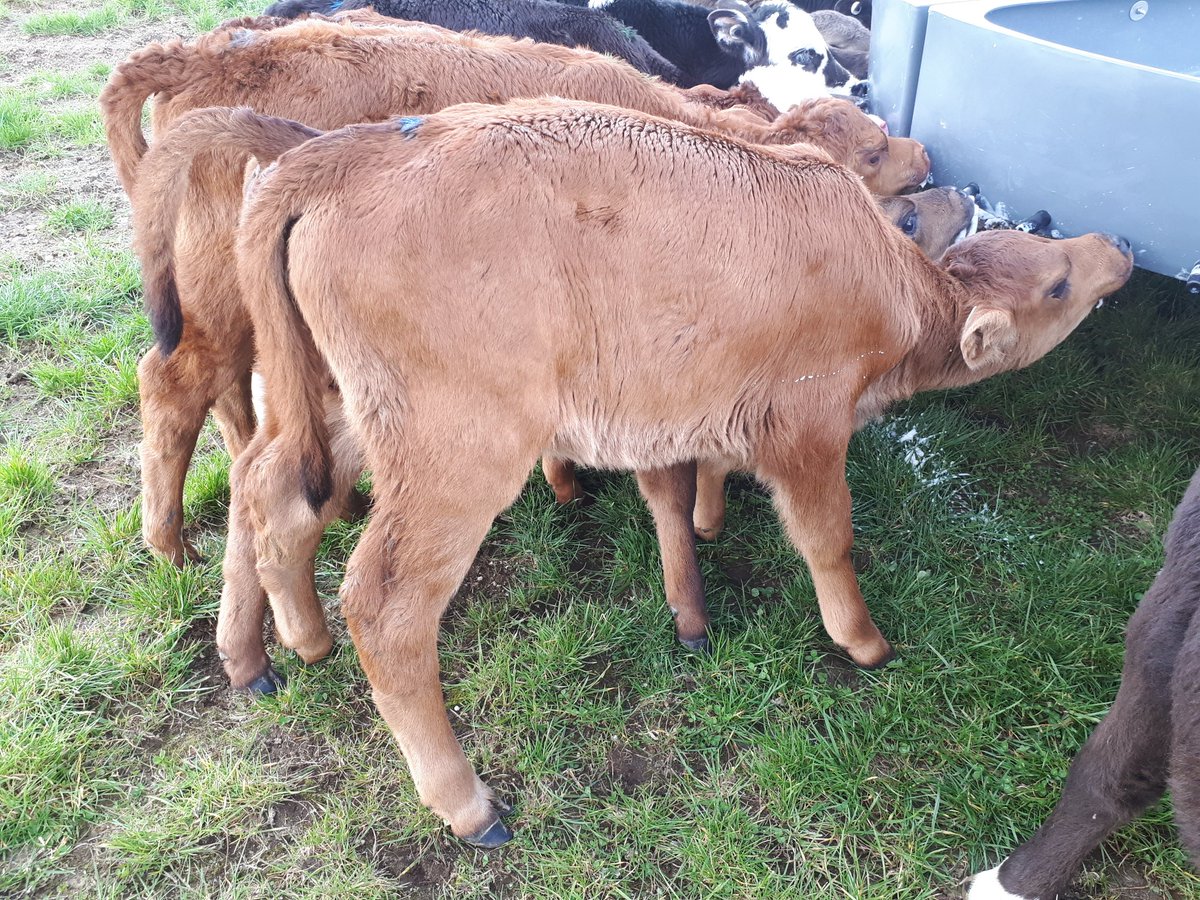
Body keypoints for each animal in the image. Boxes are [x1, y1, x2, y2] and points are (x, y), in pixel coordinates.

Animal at [105, 14, 926, 566]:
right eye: (871, 151)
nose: (920, 154)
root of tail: (207, 52)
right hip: (218, 296)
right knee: (175, 379)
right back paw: (171, 544)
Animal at [231, 102, 1132, 849]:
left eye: (1047, 249)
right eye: (1057, 284)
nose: (1117, 247)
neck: (892, 282)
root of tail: (355, 150)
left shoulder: (680, 410)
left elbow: (675, 497)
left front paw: (695, 584)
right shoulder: (807, 428)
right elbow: (827, 538)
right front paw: (863, 639)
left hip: (336, 408)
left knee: (267, 488)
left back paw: (284, 648)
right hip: (454, 456)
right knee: (385, 606)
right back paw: (467, 805)